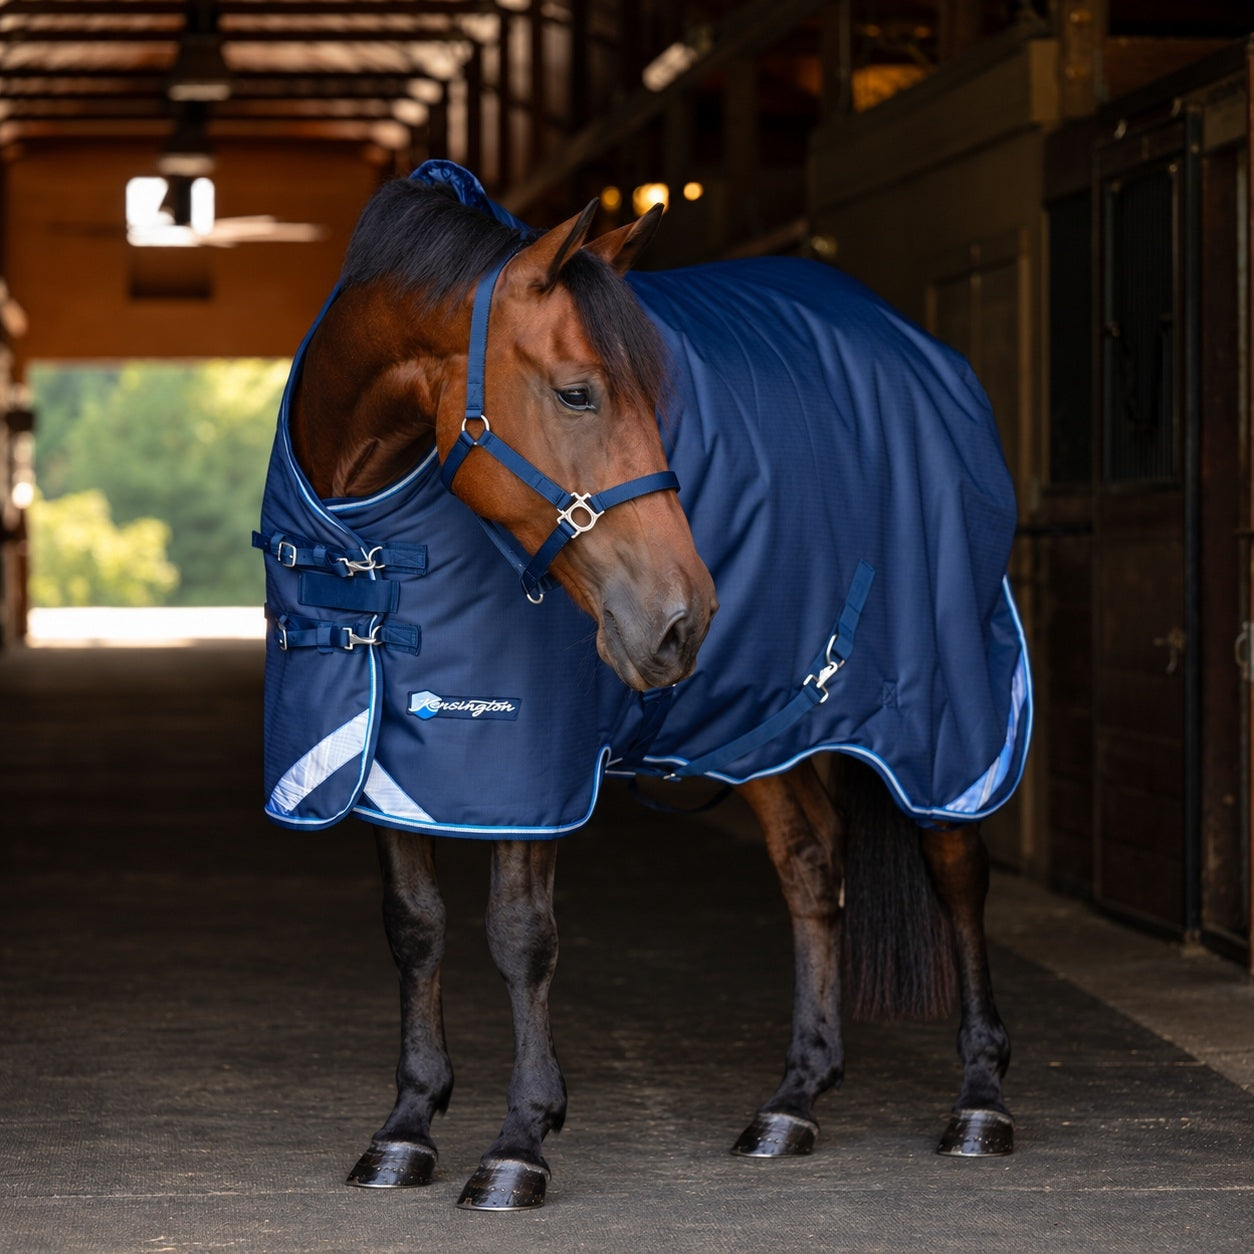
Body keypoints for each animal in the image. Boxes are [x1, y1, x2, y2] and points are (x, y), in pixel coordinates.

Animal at [254, 160, 1031, 1210]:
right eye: (579, 393)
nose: (684, 617)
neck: (366, 538)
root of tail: (917, 347)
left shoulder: (531, 759)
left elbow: (520, 934)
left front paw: (519, 1145)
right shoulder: (385, 750)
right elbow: (414, 928)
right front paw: (407, 1127)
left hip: (949, 710)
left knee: (955, 867)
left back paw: (980, 1101)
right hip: (769, 719)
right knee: (811, 866)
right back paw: (794, 1100)